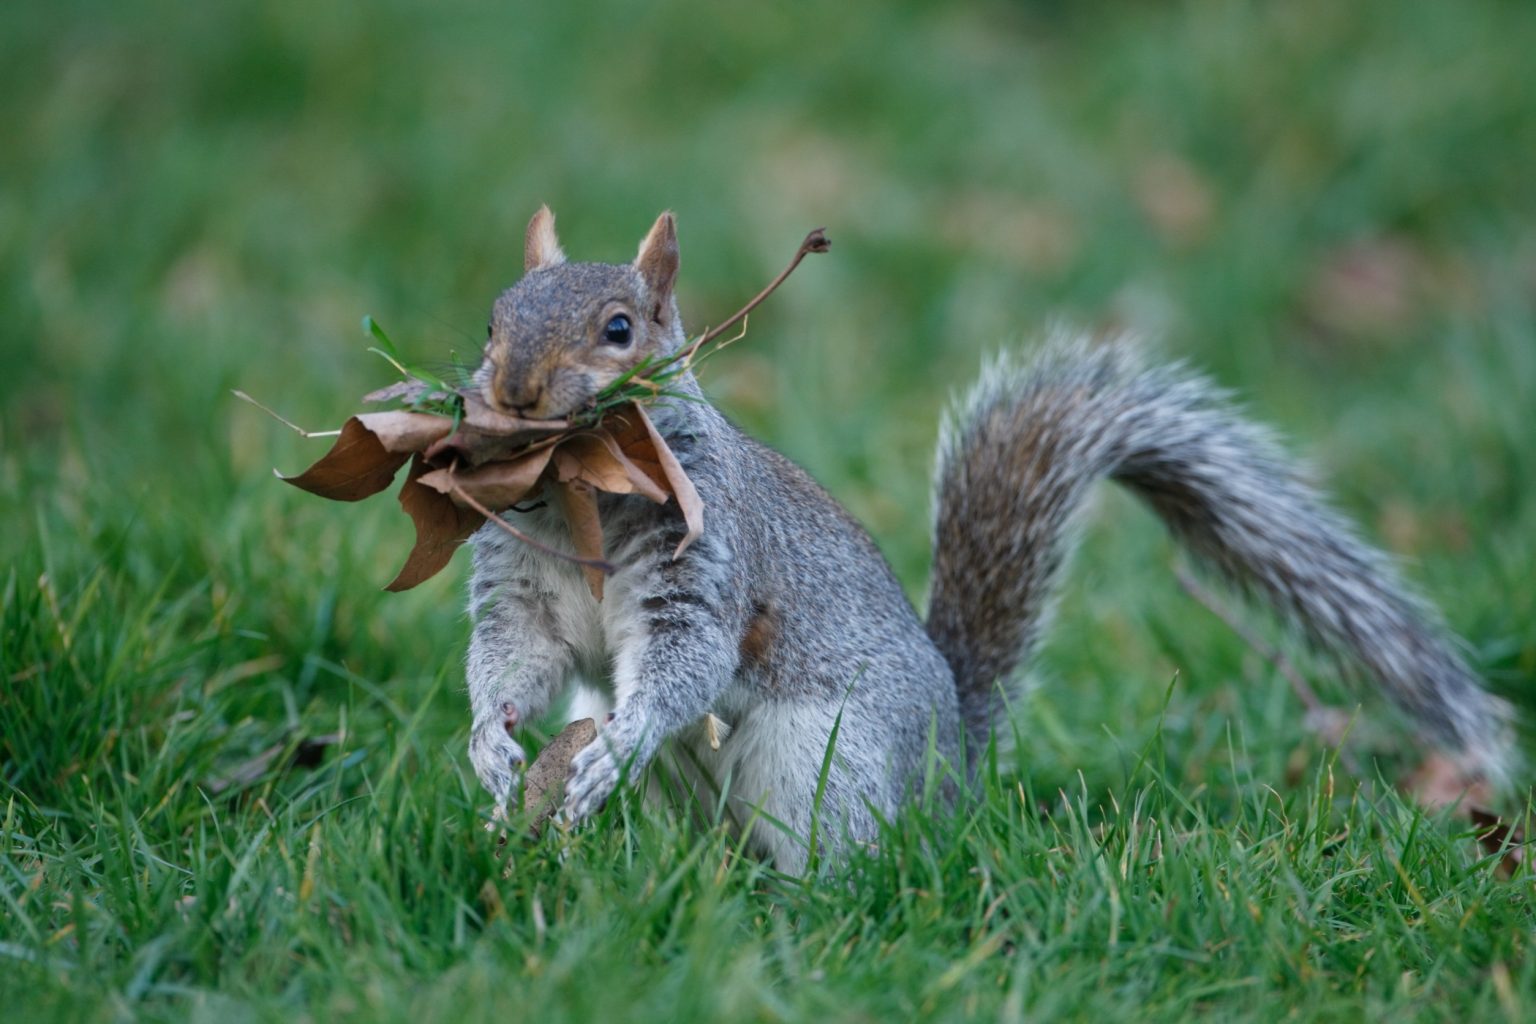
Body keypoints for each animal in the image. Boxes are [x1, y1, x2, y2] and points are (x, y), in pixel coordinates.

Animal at [463, 206, 1514, 870]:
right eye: (490, 320)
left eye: (619, 329)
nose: (513, 390)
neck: (582, 495)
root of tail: (950, 772)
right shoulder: (521, 583)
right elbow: (517, 658)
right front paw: (489, 748)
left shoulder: (707, 559)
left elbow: (687, 660)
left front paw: (619, 742)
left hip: (830, 762)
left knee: (839, 853)